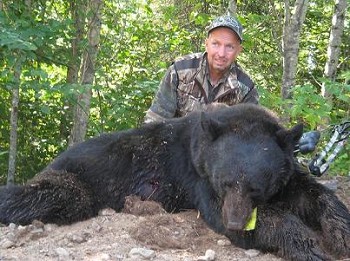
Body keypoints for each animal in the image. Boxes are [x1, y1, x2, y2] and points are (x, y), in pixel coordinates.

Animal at [0, 103, 350, 260]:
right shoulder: (197, 177)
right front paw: (310, 247)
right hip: (76, 180)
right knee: (49, 196)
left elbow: (315, 195)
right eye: (224, 182)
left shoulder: (286, 173)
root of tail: (55, 160)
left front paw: (341, 235)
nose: (236, 224)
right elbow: (266, 218)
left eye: (257, 187)